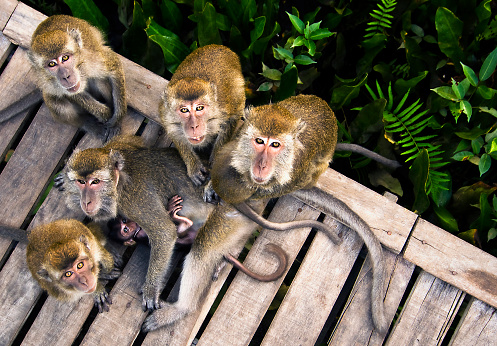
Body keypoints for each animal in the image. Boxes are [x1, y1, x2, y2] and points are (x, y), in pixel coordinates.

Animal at [17, 14, 126, 142]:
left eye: (65, 58)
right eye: (52, 64)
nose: (65, 76)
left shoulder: (93, 59)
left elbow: (115, 68)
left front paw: (117, 120)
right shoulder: (51, 82)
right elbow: (69, 94)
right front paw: (103, 113)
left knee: (99, 81)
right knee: (54, 101)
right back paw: (89, 124)